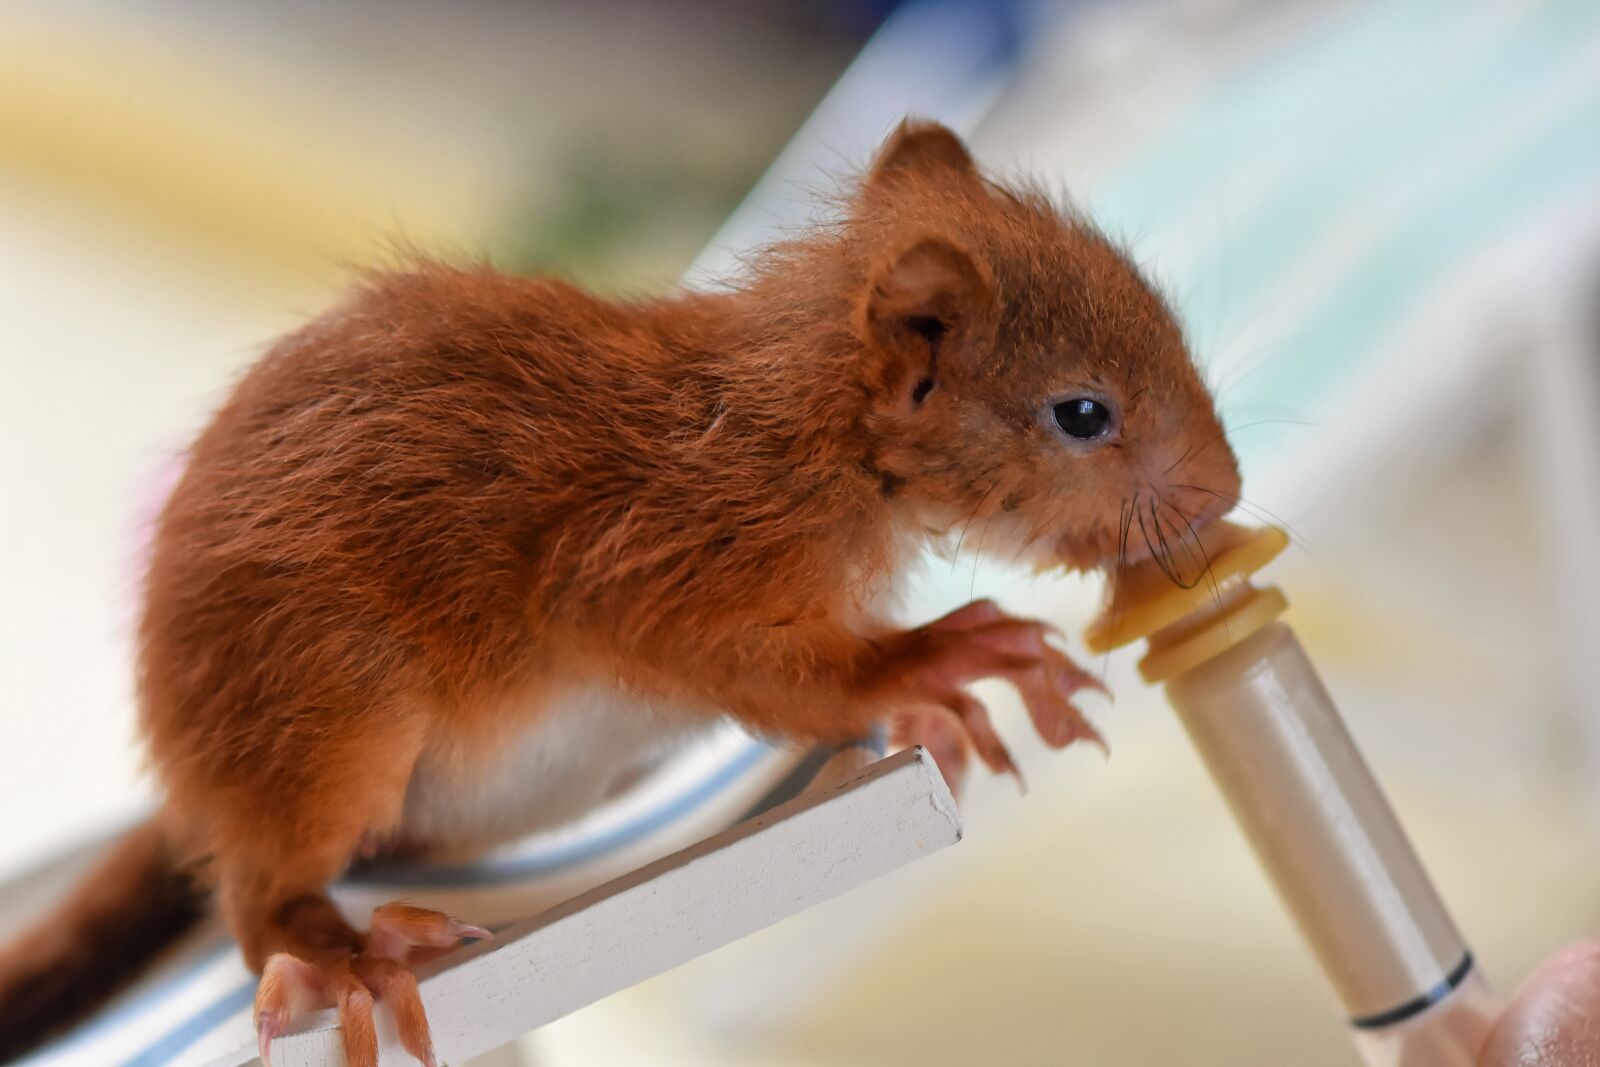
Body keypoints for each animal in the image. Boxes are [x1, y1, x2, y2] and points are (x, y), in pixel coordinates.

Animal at [0, 120, 1240, 1066]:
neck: (819, 428)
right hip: (327, 710)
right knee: (263, 905)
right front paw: (941, 658)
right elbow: (765, 662)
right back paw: (347, 949)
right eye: (1081, 413)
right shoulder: (652, 559)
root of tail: (190, 777)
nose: (1222, 490)